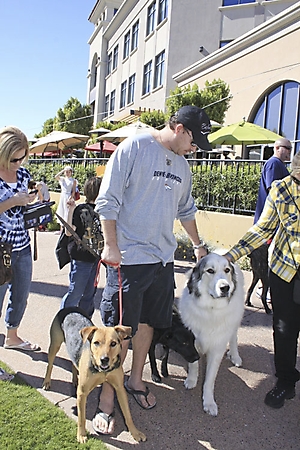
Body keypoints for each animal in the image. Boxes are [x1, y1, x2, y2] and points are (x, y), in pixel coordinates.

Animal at [42, 308, 146, 444]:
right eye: (96, 343)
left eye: (113, 343)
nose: (104, 360)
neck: (102, 371)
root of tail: (69, 308)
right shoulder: (82, 393)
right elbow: (81, 418)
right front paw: (81, 435)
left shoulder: (119, 388)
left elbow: (127, 414)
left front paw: (135, 432)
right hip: (55, 344)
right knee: (50, 365)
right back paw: (47, 382)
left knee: (73, 363)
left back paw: (75, 379)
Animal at [178, 251, 244, 416]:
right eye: (210, 271)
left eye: (226, 270)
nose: (225, 288)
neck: (210, 310)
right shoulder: (192, 342)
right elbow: (193, 364)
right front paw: (191, 380)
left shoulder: (217, 349)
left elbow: (210, 379)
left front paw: (209, 402)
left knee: (234, 338)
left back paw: (235, 357)